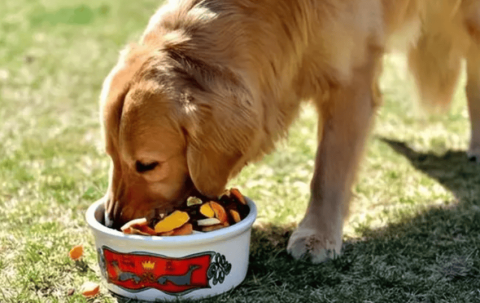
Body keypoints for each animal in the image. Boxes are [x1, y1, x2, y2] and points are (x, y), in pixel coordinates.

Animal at [99, 0, 480, 264]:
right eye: (111, 156)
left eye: (148, 165)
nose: (114, 221)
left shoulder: (351, 80)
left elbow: (328, 173)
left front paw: (317, 235)